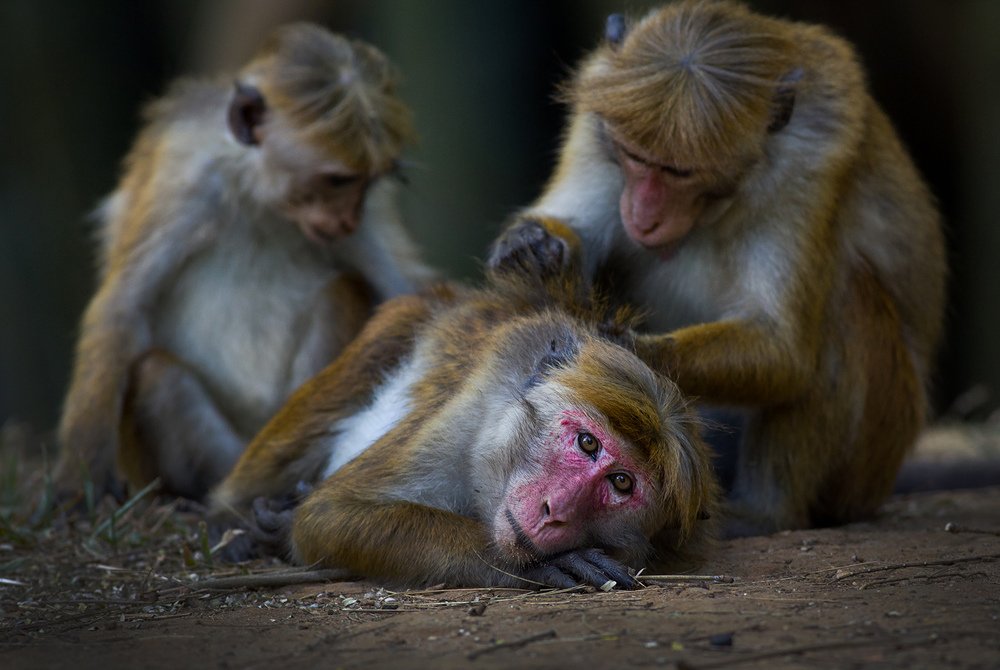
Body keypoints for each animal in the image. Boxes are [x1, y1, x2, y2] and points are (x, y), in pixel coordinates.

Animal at [53, 24, 437, 502]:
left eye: (368, 183)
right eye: (337, 181)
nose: (348, 218)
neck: (262, 197)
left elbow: (403, 288)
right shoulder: (186, 176)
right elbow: (123, 307)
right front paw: (80, 475)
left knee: (341, 292)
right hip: (224, 451)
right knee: (157, 375)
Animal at [208, 229, 718, 589]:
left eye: (622, 483)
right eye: (587, 442)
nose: (555, 510)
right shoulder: (470, 409)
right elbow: (328, 514)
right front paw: (540, 563)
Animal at [488, 1, 946, 536]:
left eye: (679, 172)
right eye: (632, 155)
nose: (642, 214)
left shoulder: (811, 165)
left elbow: (783, 348)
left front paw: (625, 348)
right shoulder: (598, 116)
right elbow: (573, 227)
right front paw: (533, 245)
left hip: (873, 456)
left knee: (844, 299)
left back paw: (767, 512)